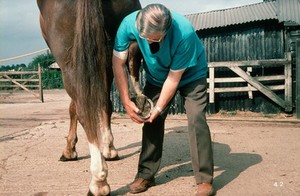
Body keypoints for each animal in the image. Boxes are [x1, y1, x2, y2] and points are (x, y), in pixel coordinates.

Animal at [37, 0, 143, 195]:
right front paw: (109, 149)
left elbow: (74, 108)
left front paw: (69, 150)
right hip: (109, 56)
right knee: (105, 103)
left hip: (71, 64)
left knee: (84, 113)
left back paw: (98, 181)